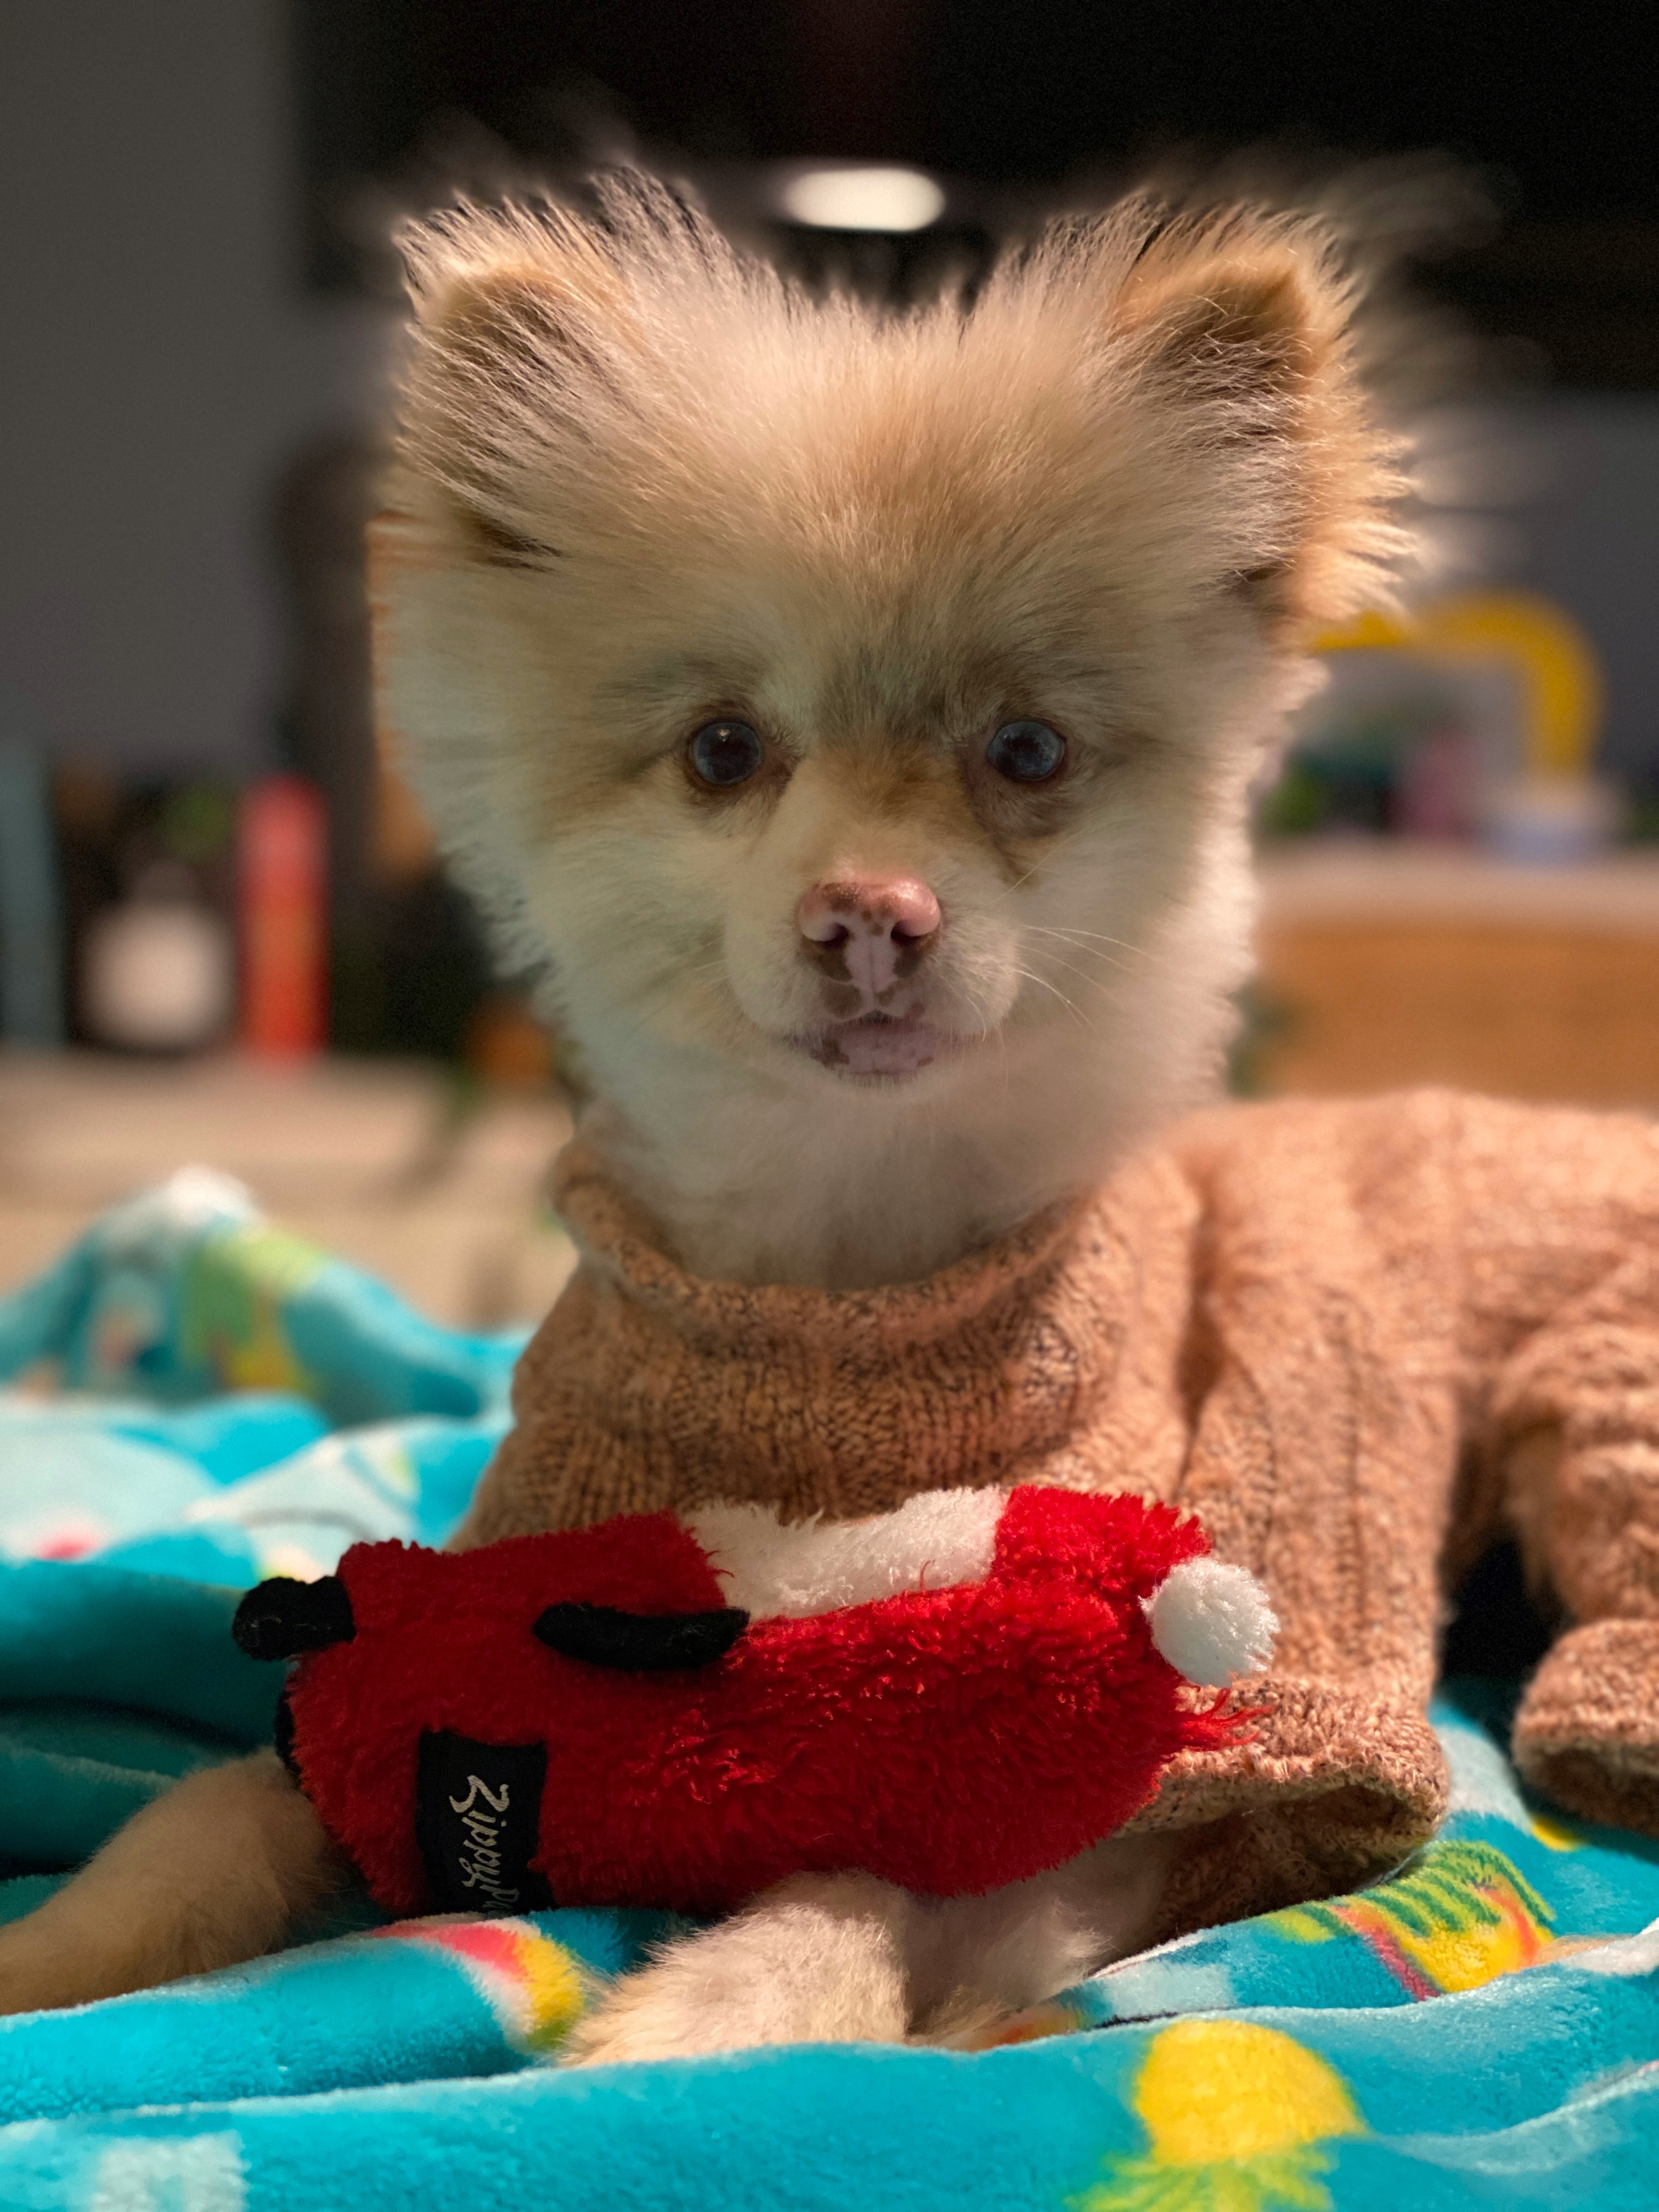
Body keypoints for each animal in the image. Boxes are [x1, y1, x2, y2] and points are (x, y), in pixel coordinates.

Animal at [3, 172, 1433, 2052]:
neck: (835, 1282)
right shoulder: (400, 1651)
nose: (871, 913)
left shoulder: (1115, 1785)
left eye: (1027, 754)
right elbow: (200, 1818)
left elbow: (882, 1877)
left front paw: (704, 2016)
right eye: (724, 750)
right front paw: (46, 1965)